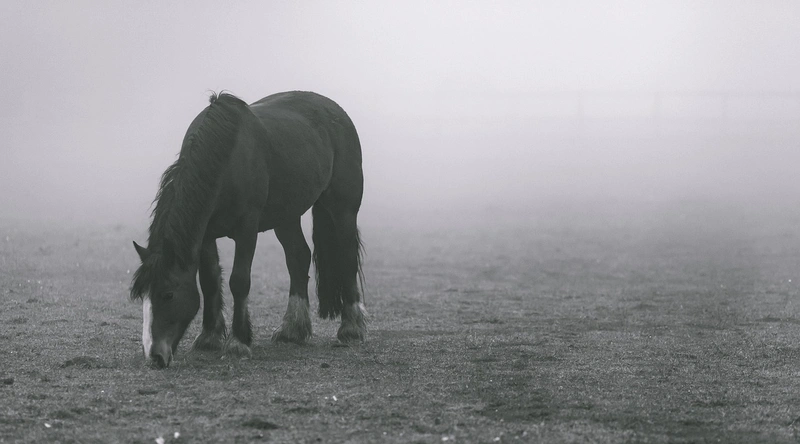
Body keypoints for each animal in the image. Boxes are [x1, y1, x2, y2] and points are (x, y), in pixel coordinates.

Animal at [130, 91, 366, 369]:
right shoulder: (205, 234)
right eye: (143, 296)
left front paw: (238, 342)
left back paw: (351, 328)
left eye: (167, 294)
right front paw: (209, 337)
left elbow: (239, 281)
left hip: (343, 210)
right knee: (298, 257)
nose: (154, 356)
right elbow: (209, 281)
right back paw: (292, 330)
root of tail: (336, 112)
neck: (225, 159)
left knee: (347, 257)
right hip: (286, 216)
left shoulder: (247, 229)